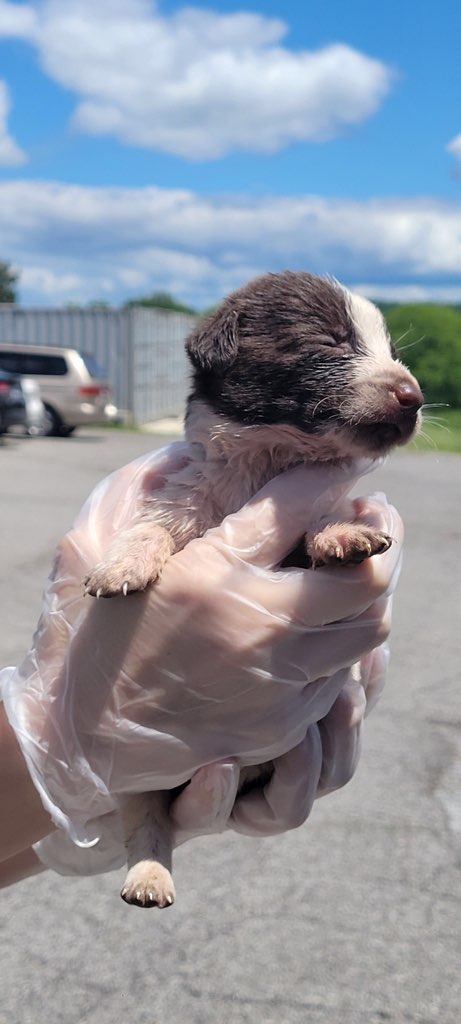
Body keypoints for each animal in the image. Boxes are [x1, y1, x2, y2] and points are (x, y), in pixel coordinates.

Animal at [83, 268, 424, 909]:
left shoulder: (312, 504)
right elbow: (153, 526)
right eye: (332, 341)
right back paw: (148, 877)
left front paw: (340, 534)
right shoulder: (189, 497)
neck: (268, 463)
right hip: (140, 776)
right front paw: (122, 564)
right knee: (148, 819)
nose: (414, 397)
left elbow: (323, 519)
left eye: (390, 350)